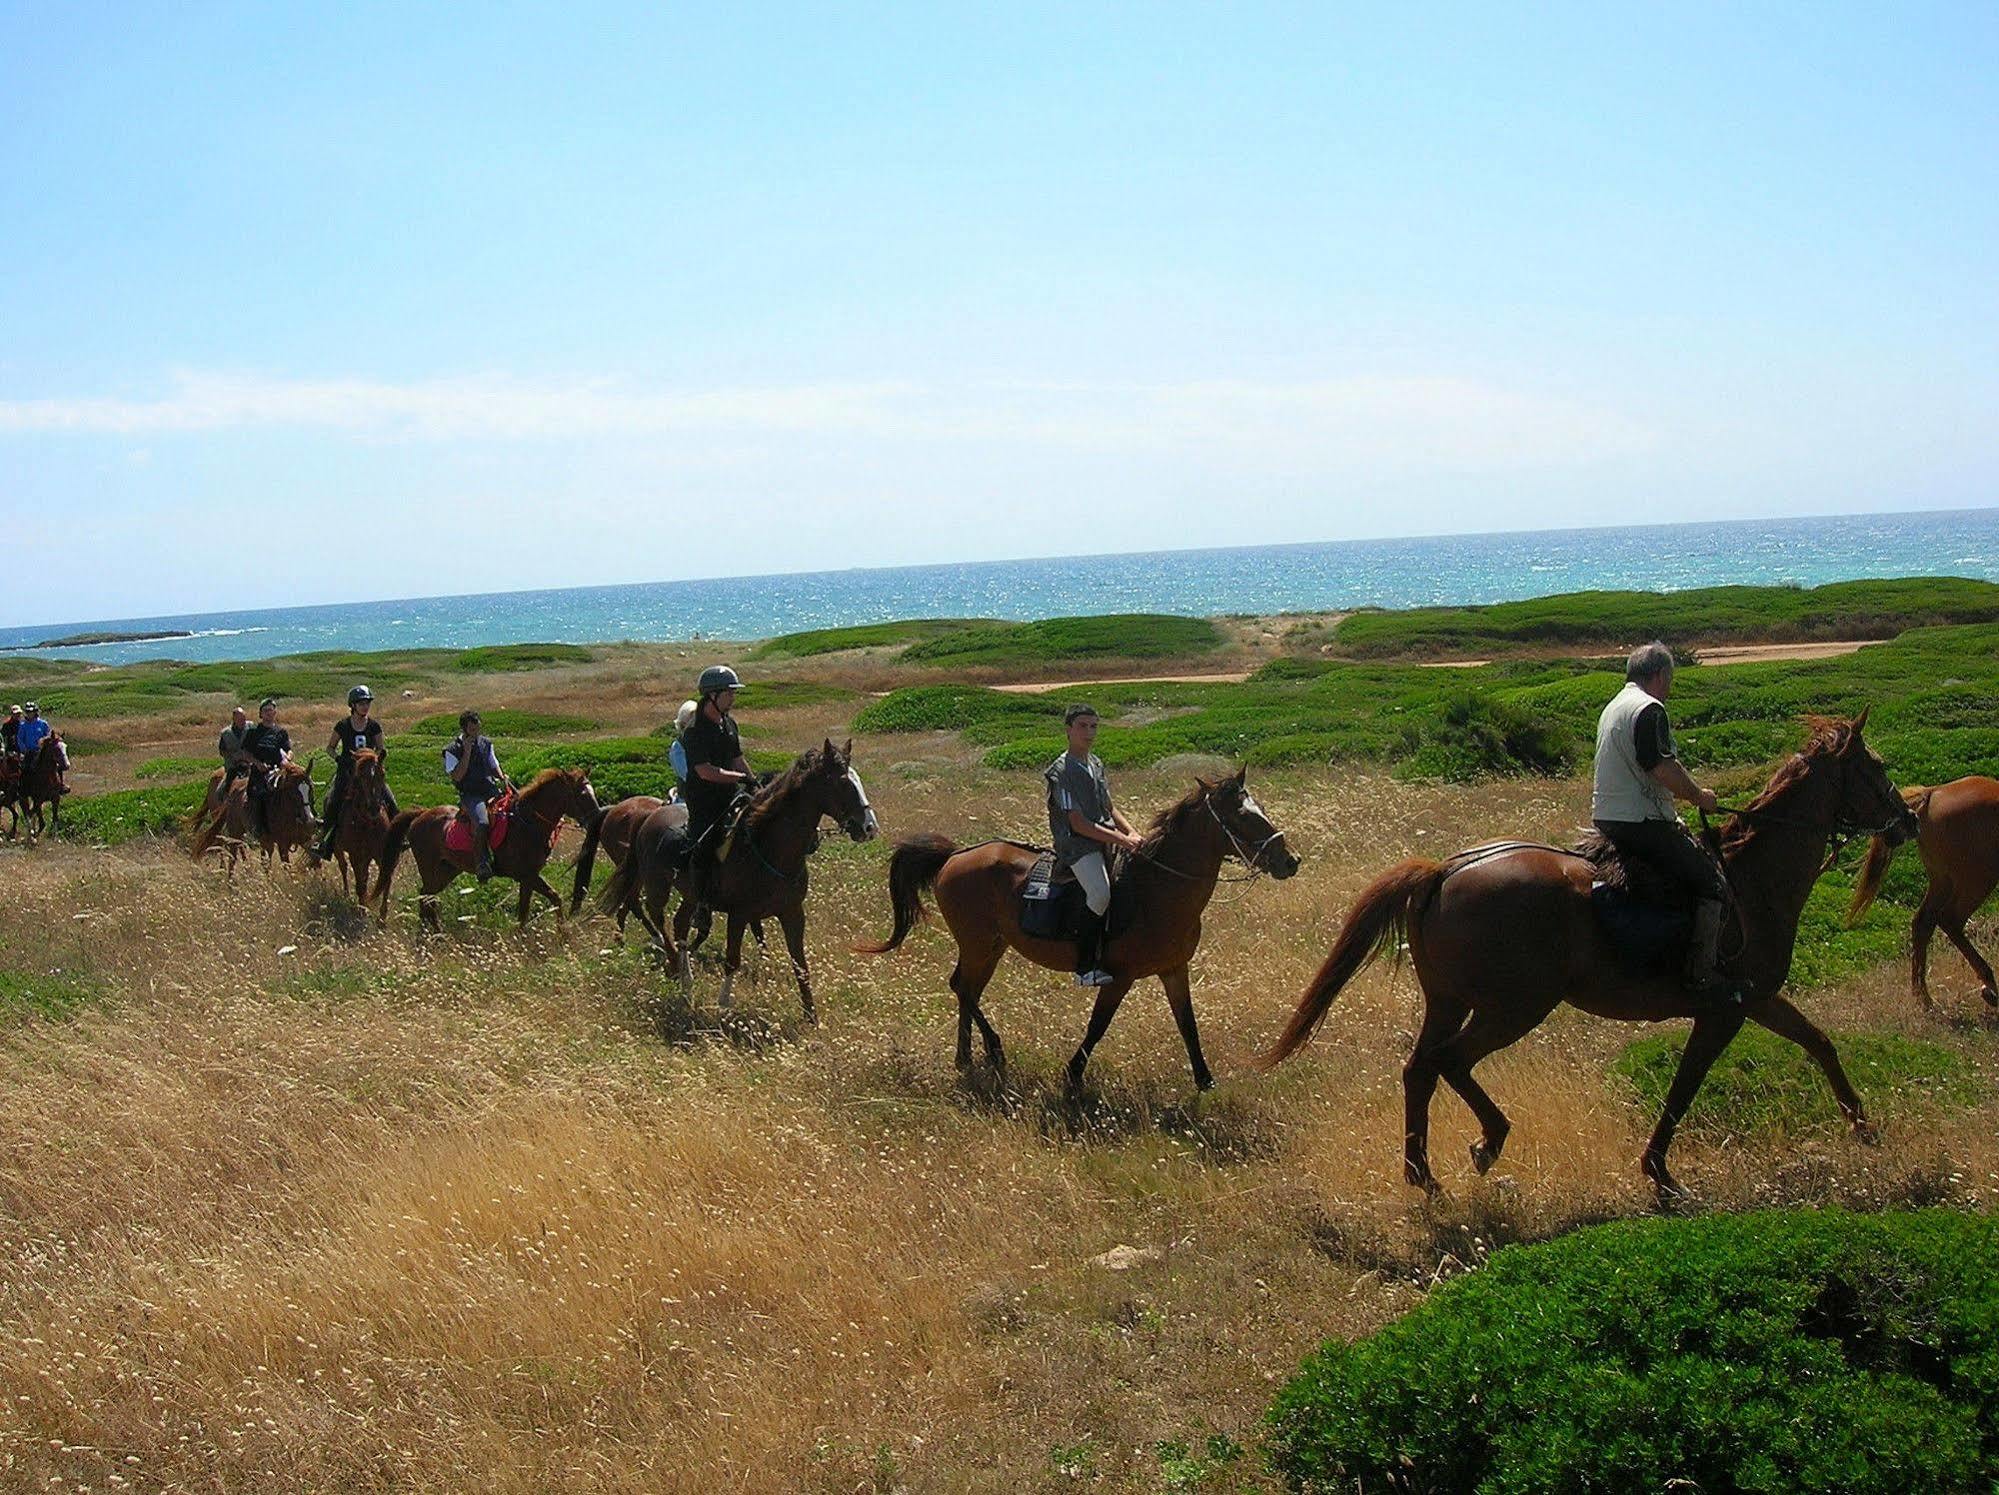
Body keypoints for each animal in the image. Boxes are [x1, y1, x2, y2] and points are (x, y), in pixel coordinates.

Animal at [375, 763, 599, 927]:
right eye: (582, 794)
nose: (596, 818)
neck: (527, 823)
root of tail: (420, 814)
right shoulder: (527, 875)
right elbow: (552, 900)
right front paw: (562, 937)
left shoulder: (528, 877)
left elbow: (530, 910)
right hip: (430, 868)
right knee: (426, 898)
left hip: (447, 870)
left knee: (426, 897)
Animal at [591, 743, 875, 1023]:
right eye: (842, 782)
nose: (870, 827)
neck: (770, 849)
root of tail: (647, 816)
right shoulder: (739, 915)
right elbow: (732, 960)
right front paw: (723, 1005)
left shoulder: (793, 912)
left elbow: (799, 962)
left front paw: (811, 1014)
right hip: (656, 884)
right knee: (655, 914)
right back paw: (671, 961)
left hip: (691, 895)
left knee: (680, 924)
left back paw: (686, 981)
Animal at [867, 763, 1303, 1095]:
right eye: (1244, 816)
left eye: (1261, 807)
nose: (1290, 860)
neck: (1158, 888)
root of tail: (955, 855)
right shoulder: (1118, 978)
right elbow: (1097, 1027)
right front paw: (1073, 1074)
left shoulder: (1174, 970)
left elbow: (1188, 1026)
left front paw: (1205, 1080)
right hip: (978, 944)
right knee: (962, 988)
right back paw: (994, 1050)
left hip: (991, 947)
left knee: (967, 990)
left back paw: (966, 1057)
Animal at [1263, 715, 1919, 1199]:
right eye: (1878, 767)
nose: (1909, 818)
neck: (1751, 882)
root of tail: (1445, 870)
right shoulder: (1726, 1009)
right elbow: (1684, 1087)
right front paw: (1658, 1171)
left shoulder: (1757, 1000)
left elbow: (1819, 1043)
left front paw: (1863, 1125)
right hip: (1516, 1008)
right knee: (1451, 1062)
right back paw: (1489, 1140)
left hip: (1449, 1002)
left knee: (1420, 1069)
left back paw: (1423, 1176)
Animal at [1839, 775, 1999, 1011]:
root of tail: (1933, 792)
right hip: (1977, 880)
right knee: (1949, 919)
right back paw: (1989, 986)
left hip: (1942, 880)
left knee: (1923, 922)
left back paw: (1923, 996)